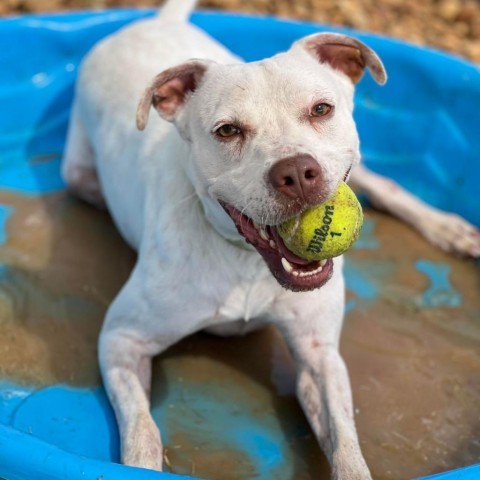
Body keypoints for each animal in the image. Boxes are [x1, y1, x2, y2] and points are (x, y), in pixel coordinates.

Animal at [62, 1, 480, 478]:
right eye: (227, 131)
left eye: (321, 109)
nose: (296, 172)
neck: (248, 264)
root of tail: (155, 23)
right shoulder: (121, 339)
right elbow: (142, 431)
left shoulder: (319, 356)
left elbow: (346, 446)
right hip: (77, 174)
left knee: (382, 183)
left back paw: (446, 228)